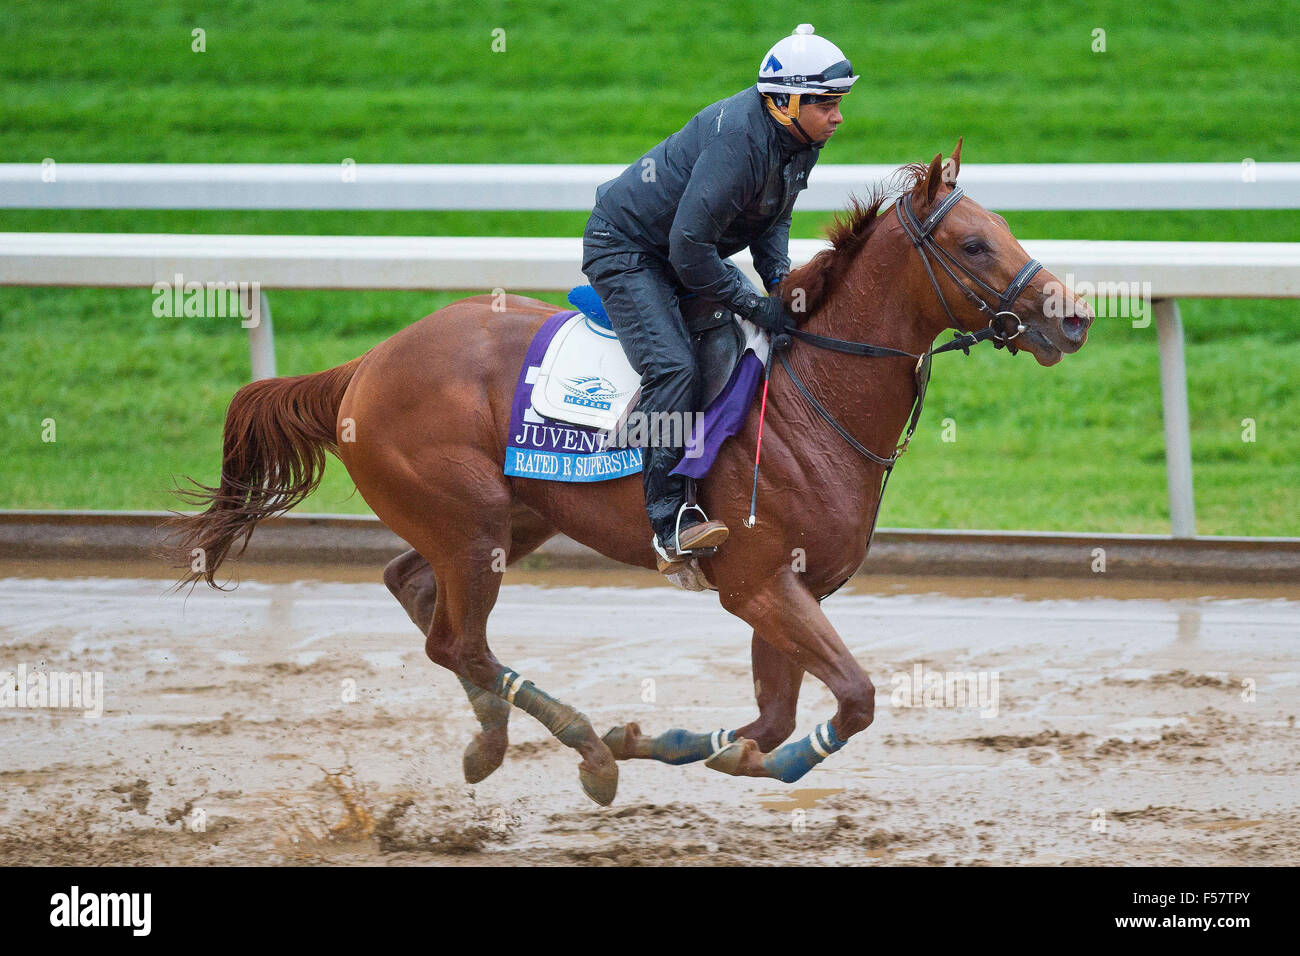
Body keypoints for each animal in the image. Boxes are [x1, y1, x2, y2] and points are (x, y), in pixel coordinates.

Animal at [170, 141, 1086, 806]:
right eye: (974, 242)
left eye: (1005, 227)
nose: (1071, 316)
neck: (812, 399)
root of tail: (364, 365)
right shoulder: (756, 582)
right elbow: (850, 699)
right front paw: (670, 750)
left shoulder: (795, 587)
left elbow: (773, 715)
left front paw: (672, 744)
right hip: (469, 523)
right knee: (457, 639)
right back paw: (575, 747)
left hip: (513, 518)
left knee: (421, 599)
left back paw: (500, 738)